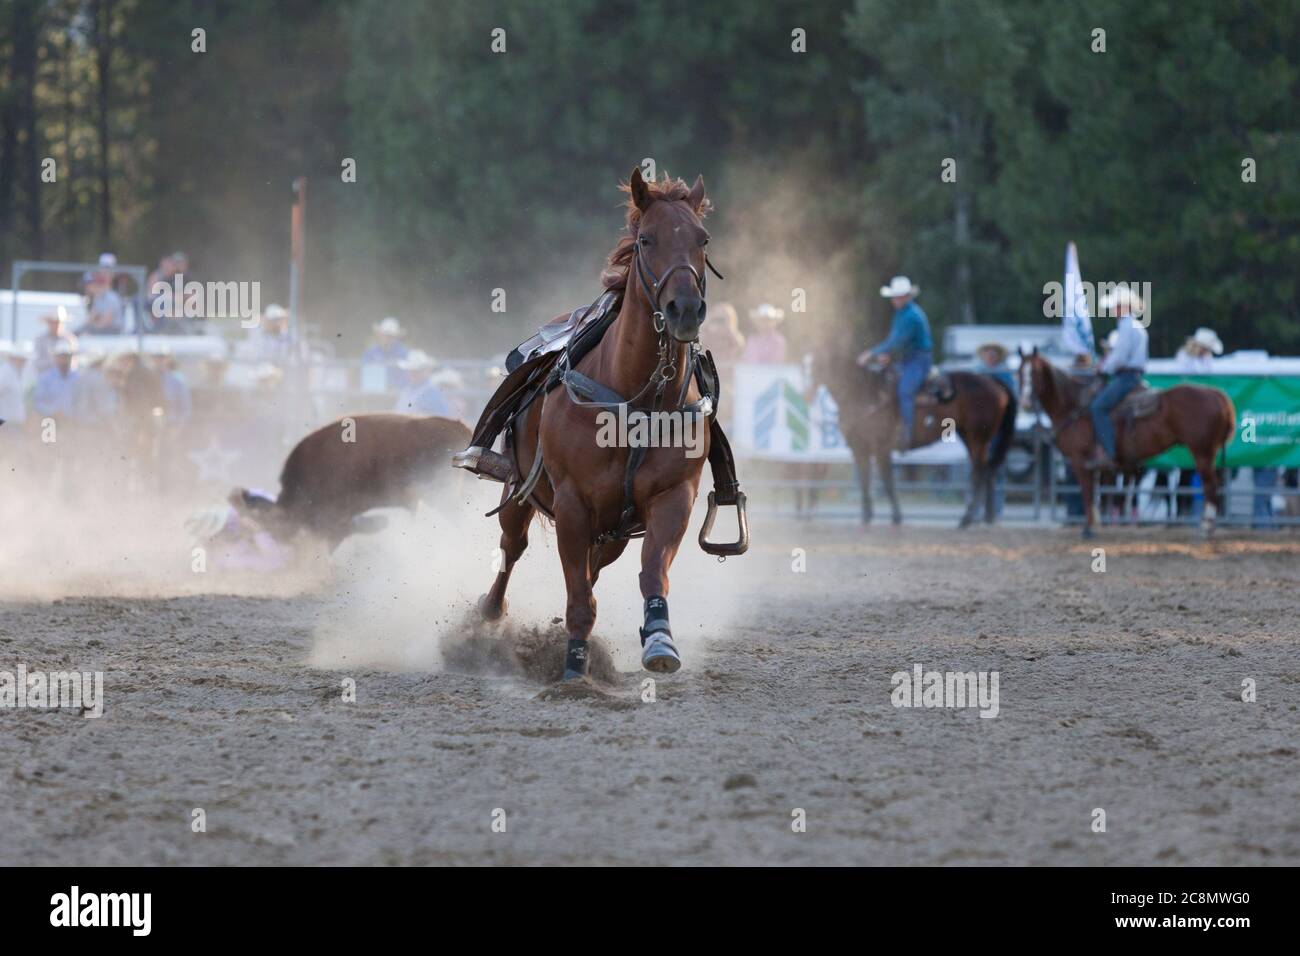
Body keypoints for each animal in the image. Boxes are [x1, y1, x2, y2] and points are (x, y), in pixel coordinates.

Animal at [475, 170, 743, 681]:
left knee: (592, 569)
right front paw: (573, 671)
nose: (685, 309)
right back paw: (485, 616)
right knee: (511, 548)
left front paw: (659, 640)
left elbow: (652, 570)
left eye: (702, 239)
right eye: (646, 239)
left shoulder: (672, 497)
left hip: (611, 532)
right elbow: (578, 598)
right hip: (519, 494)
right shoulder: (572, 505)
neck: (636, 400)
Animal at [1013, 348, 1237, 538]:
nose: (1025, 403)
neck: (1074, 406)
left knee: (1210, 485)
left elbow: (1087, 494)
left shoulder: (1080, 461)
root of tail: (1218, 395)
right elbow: (1095, 495)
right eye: (1019, 373)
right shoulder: (1094, 466)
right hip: (1209, 452)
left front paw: (1089, 529)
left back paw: (1206, 527)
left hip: (1202, 452)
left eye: (1035, 373)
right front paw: (1095, 525)